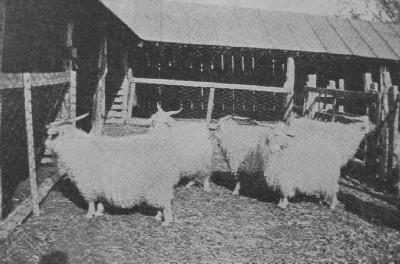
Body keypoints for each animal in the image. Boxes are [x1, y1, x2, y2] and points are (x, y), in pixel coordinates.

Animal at [45, 114, 180, 226]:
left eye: (51, 135)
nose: (45, 145)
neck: (74, 147)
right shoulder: (98, 185)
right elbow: (99, 200)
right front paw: (99, 212)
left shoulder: (87, 183)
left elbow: (90, 201)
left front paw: (89, 214)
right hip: (158, 187)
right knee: (162, 203)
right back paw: (158, 217)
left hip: (159, 184)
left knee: (166, 204)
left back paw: (166, 221)